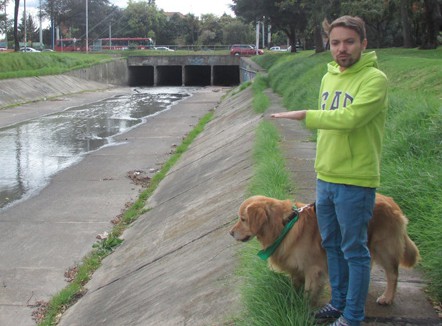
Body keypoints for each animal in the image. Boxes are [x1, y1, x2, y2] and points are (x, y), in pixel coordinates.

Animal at [230, 194, 420, 306]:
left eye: (243, 219)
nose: (230, 233)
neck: (284, 225)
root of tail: (391, 201)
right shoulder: (297, 269)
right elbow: (295, 286)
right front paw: (293, 301)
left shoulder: (313, 269)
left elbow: (308, 293)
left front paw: (304, 308)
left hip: (383, 247)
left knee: (393, 274)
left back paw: (387, 297)